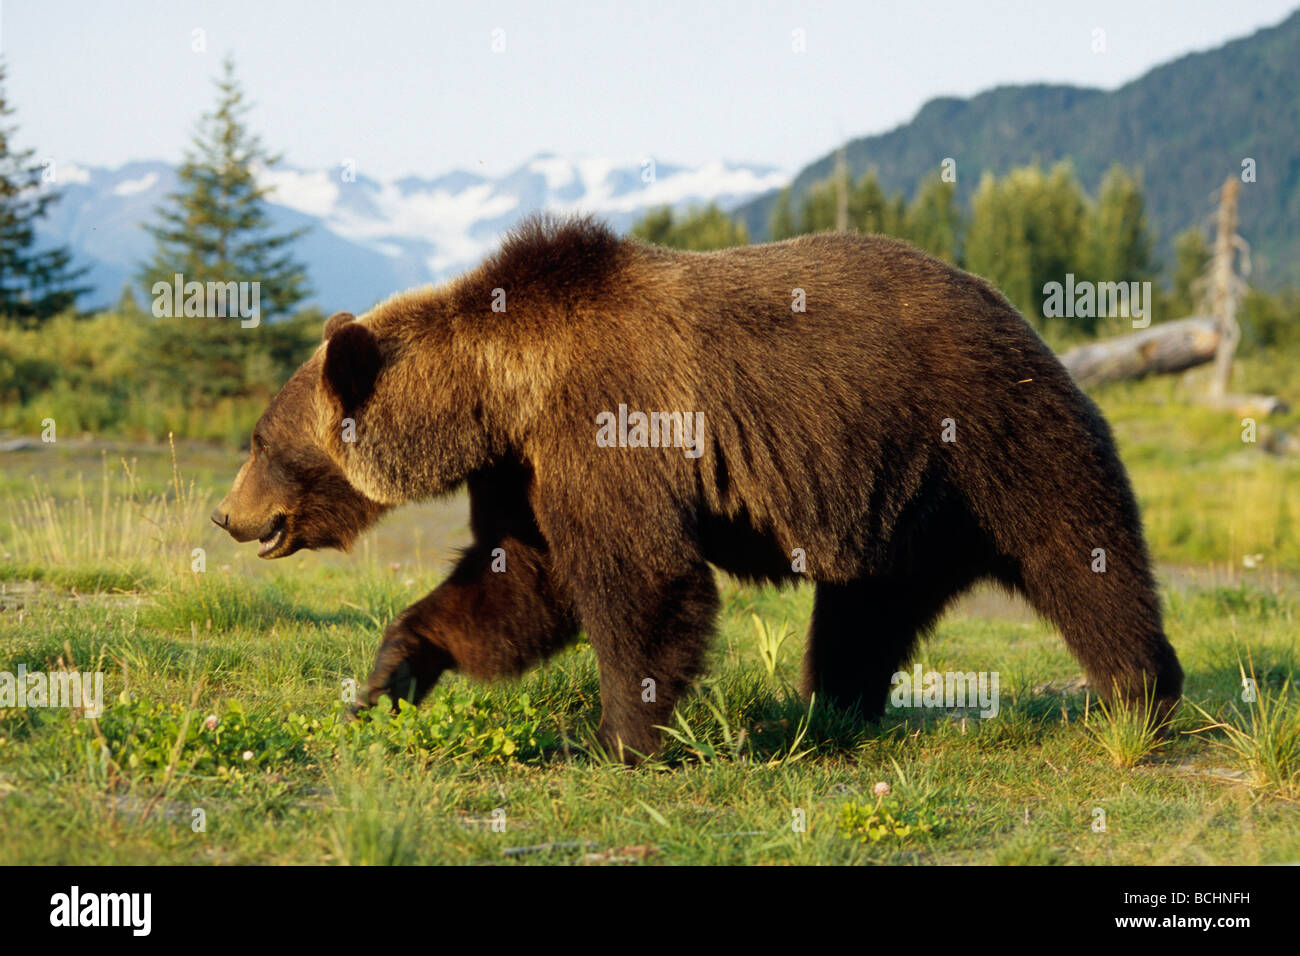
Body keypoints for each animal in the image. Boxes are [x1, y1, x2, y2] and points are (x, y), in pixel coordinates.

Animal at [215, 214, 1190, 764]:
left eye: (261, 440)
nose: (227, 514)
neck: (501, 388)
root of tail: (1023, 322)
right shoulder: (525, 467)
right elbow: (516, 583)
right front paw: (387, 678)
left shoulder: (608, 426)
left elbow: (642, 581)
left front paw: (617, 739)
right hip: (896, 508)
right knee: (862, 616)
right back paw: (828, 712)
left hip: (993, 442)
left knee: (1083, 561)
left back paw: (1142, 698)